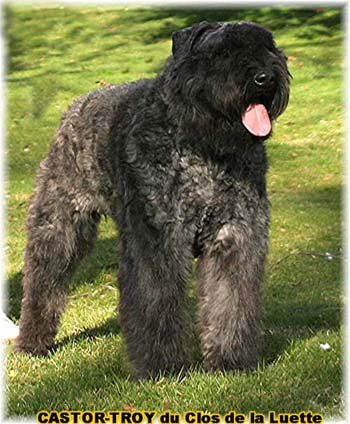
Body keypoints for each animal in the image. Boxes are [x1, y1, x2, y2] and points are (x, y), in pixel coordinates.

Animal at [15, 20, 290, 378]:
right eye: (223, 51)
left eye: (268, 47)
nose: (264, 77)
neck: (205, 149)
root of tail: (76, 107)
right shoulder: (157, 242)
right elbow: (155, 302)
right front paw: (163, 367)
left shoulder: (235, 237)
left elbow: (231, 301)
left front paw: (231, 361)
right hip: (58, 227)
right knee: (43, 282)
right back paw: (32, 342)